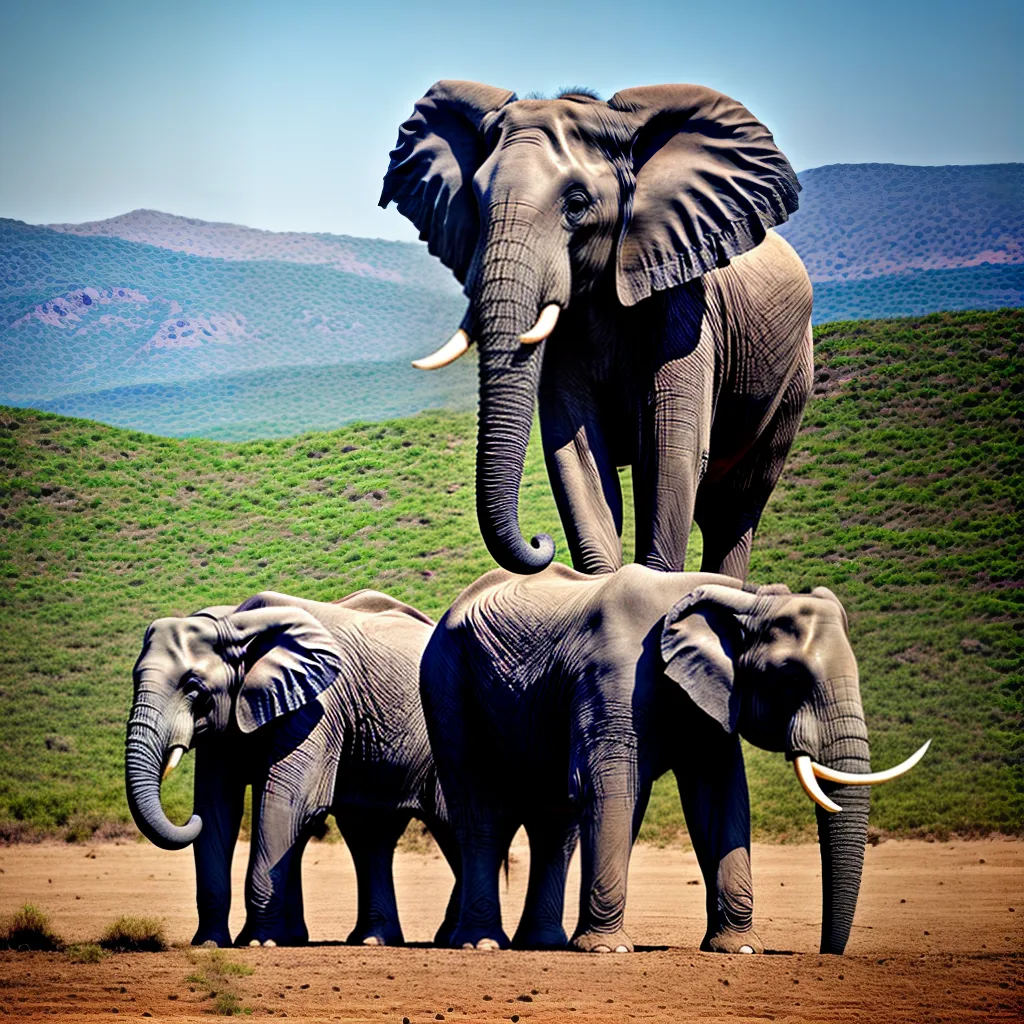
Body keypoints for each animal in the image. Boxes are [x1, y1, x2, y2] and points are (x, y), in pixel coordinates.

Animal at [125, 589, 460, 948]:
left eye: (193, 686)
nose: (187, 819)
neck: (237, 623)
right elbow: (218, 807)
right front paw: (210, 943)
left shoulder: (318, 706)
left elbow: (289, 804)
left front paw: (258, 942)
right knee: (368, 833)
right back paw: (372, 939)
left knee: (448, 822)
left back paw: (449, 938)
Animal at [381, 81, 813, 579]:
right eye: (475, 201)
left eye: (576, 205)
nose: (539, 541)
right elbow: (581, 461)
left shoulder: (687, 310)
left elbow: (671, 454)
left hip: (794, 376)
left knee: (735, 505)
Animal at [419, 563, 928, 954]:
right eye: (789, 677)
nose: (824, 952)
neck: (742, 597)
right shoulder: (612, 675)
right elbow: (609, 785)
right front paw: (608, 951)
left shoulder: (713, 694)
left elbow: (719, 796)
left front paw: (741, 949)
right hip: (446, 681)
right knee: (480, 808)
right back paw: (482, 944)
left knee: (553, 822)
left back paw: (542, 943)